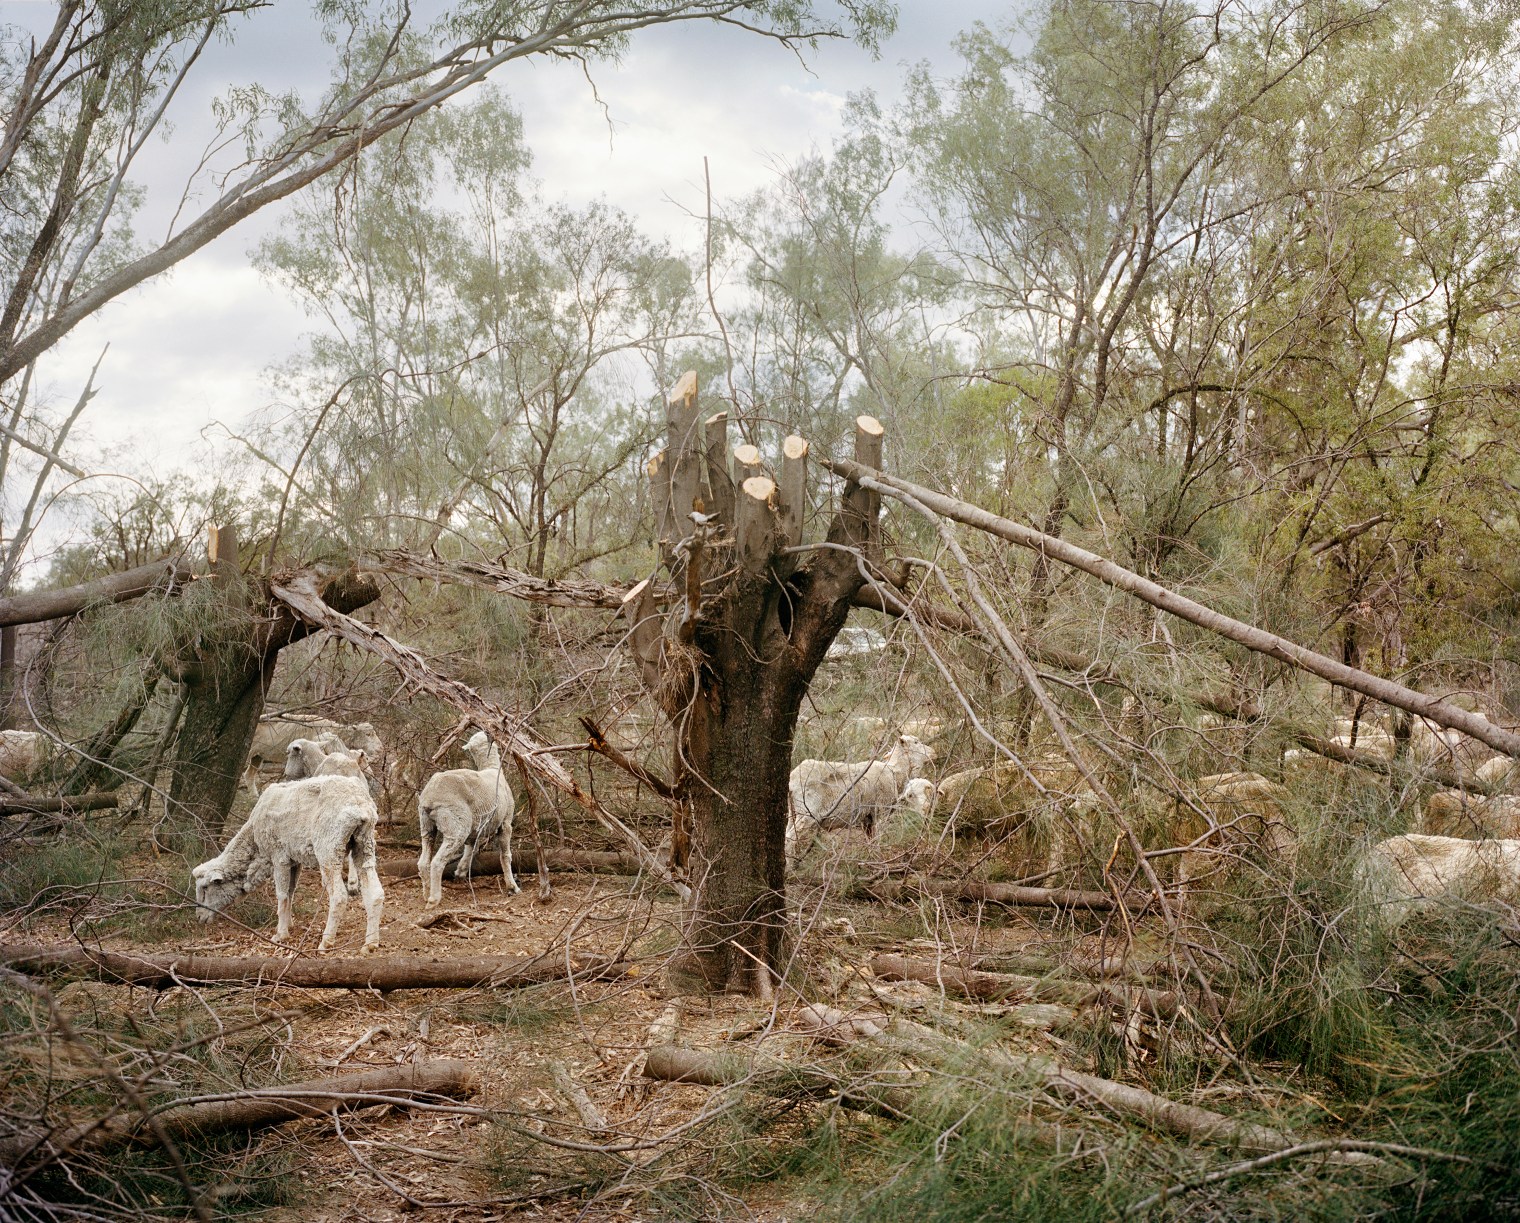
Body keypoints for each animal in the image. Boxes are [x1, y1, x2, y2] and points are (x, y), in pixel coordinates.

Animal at [189, 771, 386, 954]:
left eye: (205, 888)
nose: (199, 918)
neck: (254, 842)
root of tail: (359, 803)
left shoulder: (279, 856)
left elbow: (282, 895)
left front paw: (281, 934)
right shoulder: (294, 860)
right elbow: (291, 891)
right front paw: (289, 923)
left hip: (329, 848)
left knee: (338, 897)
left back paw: (326, 942)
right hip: (365, 845)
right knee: (375, 893)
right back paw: (370, 943)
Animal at [416, 726, 516, 905]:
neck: (491, 768)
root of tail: (429, 797)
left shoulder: (474, 828)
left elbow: (470, 848)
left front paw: (461, 871)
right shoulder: (505, 822)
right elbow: (505, 855)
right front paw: (512, 886)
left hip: (427, 825)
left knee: (423, 862)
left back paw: (426, 893)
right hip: (455, 825)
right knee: (437, 861)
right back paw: (434, 898)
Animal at [784, 729, 936, 856]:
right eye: (916, 742)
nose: (933, 752)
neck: (894, 772)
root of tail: (792, 778)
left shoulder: (866, 818)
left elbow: (871, 841)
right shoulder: (881, 811)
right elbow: (878, 839)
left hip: (793, 812)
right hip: (807, 813)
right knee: (790, 838)